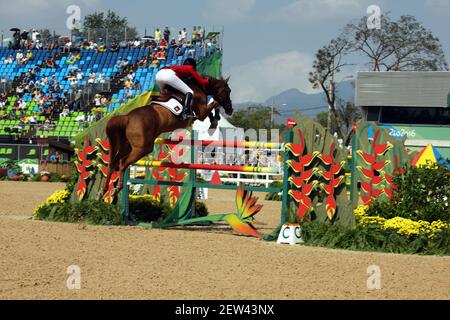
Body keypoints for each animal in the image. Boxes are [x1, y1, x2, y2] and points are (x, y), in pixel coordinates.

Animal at [98, 77, 232, 198]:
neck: (201, 87)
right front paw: (215, 120)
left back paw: (102, 192)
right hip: (142, 148)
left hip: (127, 146)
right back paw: (116, 190)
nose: (230, 109)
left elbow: (212, 108)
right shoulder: (201, 113)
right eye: (228, 90)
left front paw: (214, 121)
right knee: (123, 162)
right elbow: (214, 104)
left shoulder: (201, 113)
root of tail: (127, 117)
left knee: (113, 163)